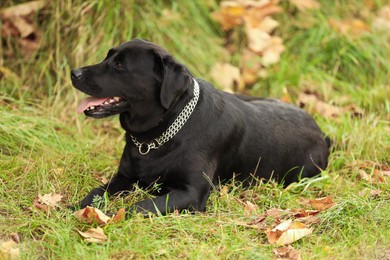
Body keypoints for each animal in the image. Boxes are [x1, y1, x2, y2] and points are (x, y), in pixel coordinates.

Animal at [70, 38, 330, 215]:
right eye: (108, 56)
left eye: (120, 66)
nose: (74, 72)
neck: (157, 136)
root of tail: (322, 134)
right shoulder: (124, 177)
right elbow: (95, 192)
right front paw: (76, 208)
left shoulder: (190, 192)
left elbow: (142, 206)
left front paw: (112, 215)